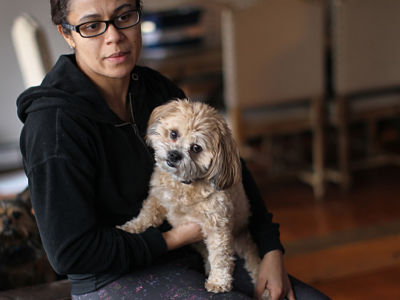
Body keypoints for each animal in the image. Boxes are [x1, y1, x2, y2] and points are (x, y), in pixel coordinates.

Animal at [118, 99, 268, 298]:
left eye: (196, 148)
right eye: (173, 134)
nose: (174, 155)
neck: (184, 185)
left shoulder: (217, 226)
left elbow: (220, 255)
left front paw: (219, 281)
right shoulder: (158, 198)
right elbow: (147, 214)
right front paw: (130, 228)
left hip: (242, 240)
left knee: (248, 261)